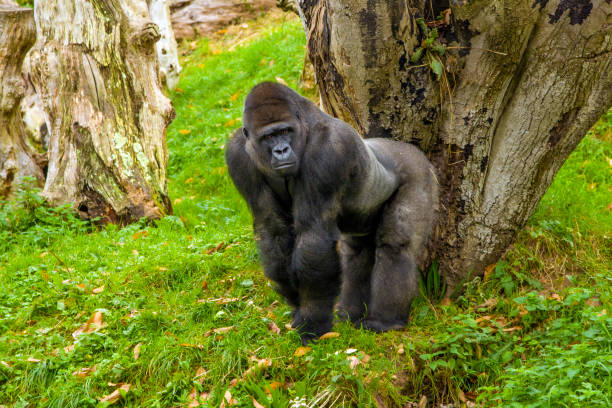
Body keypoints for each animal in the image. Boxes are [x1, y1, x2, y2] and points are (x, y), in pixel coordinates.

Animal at [227, 83, 438, 344]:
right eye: (268, 136)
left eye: (285, 131)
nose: (281, 150)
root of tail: (409, 148)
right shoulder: (237, 156)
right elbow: (273, 230)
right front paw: (297, 305)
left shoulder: (327, 150)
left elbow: (314, 236)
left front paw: (312, 319)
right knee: (356, 253)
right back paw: (350, 314)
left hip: (418, 171)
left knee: (396, 245)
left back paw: (385, 321)